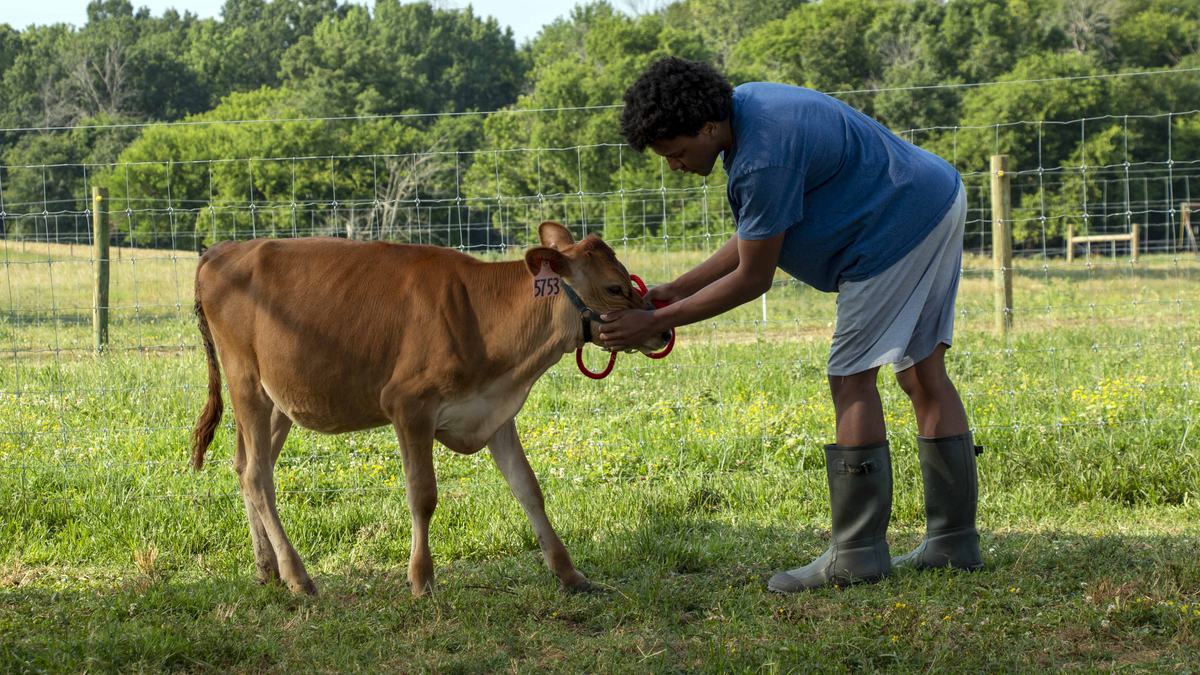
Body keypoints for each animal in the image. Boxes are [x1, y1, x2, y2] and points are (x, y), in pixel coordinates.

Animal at [189, 221, 669, 596]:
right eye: (613, 288)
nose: (662, 330)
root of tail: (223, 249)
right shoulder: (409, 406)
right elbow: (423, 495)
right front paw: (422, 579)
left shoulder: (495, 412)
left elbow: (529, 489)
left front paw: (569, 574)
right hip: (246, 382)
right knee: (257, 476)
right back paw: (297, 576)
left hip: (278, 399)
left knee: (248, 468)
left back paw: (267, 568)